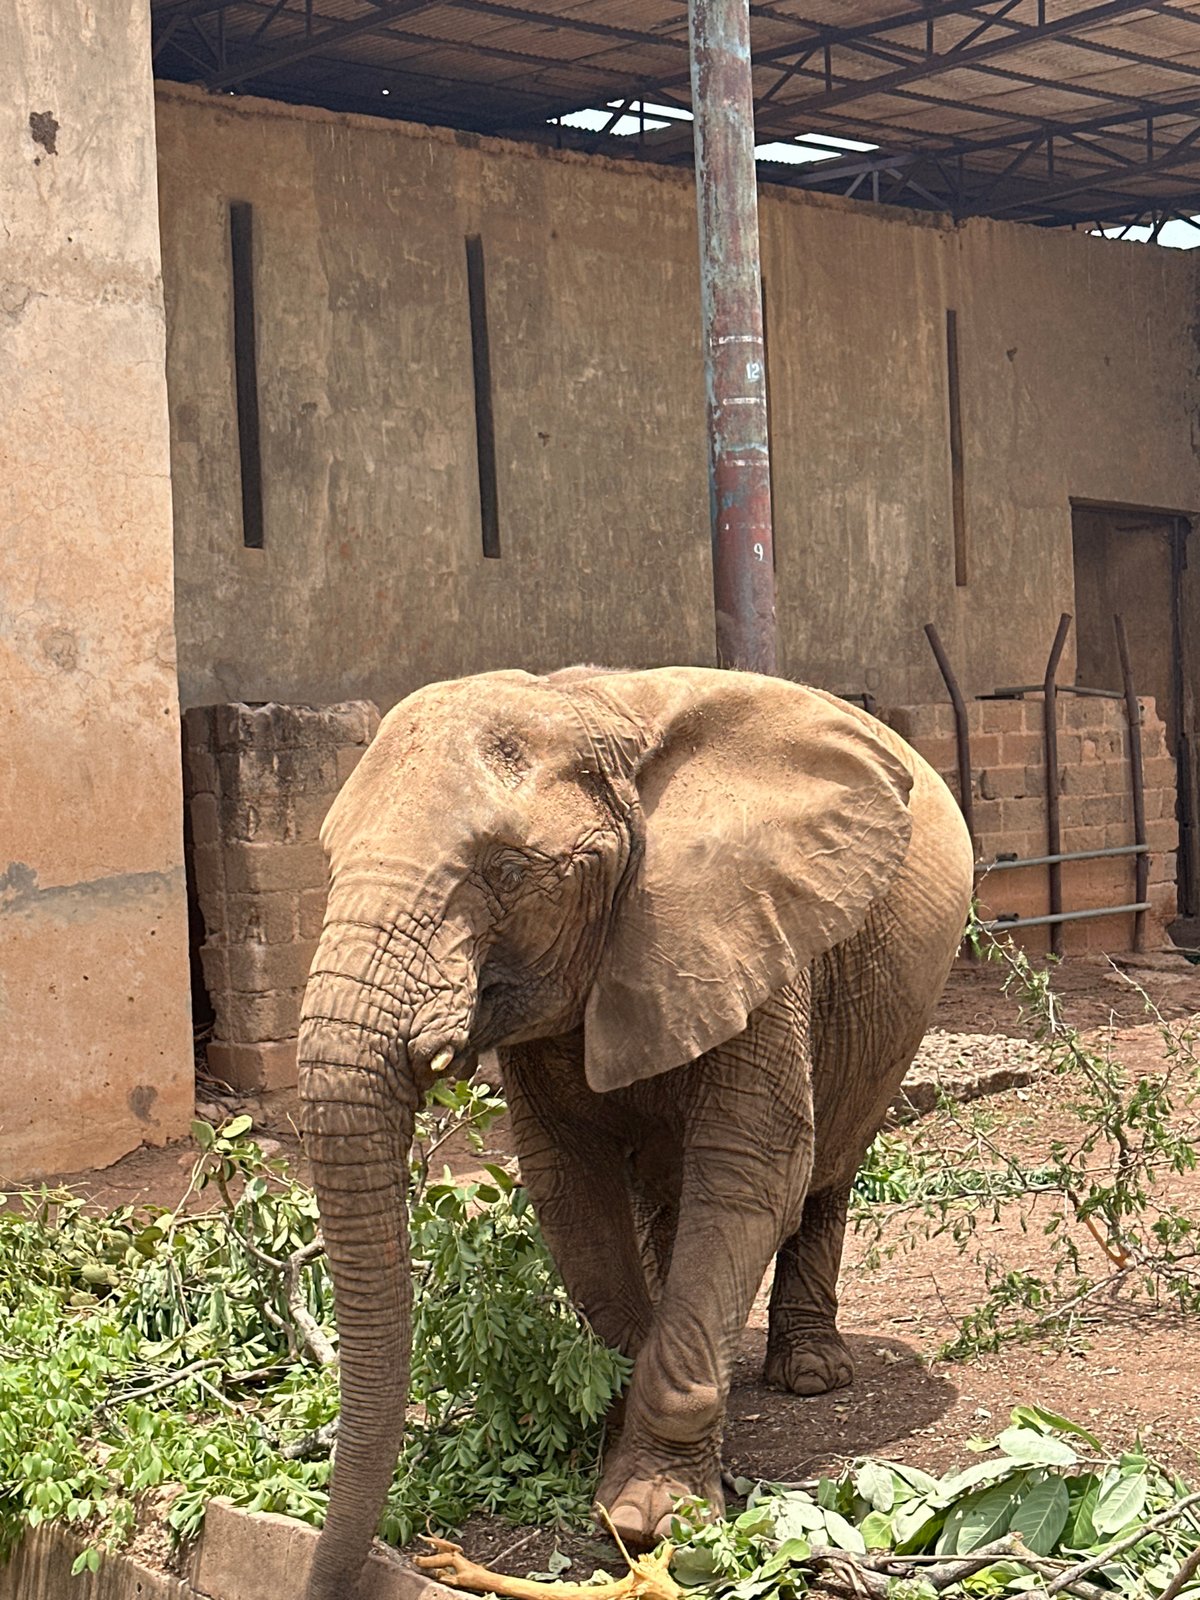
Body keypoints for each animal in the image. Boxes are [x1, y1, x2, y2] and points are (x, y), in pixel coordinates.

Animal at [297, 665, 975, 1600]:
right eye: (328, 860)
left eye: (508, 870)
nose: (330, 1577)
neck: (591, 707)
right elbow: (571, 1190)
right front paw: (612, 1442)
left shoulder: (752, 932)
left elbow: (751, 1177)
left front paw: (651, 1521)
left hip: (897, 1011)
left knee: (828, 1170)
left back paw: (810, 1375)